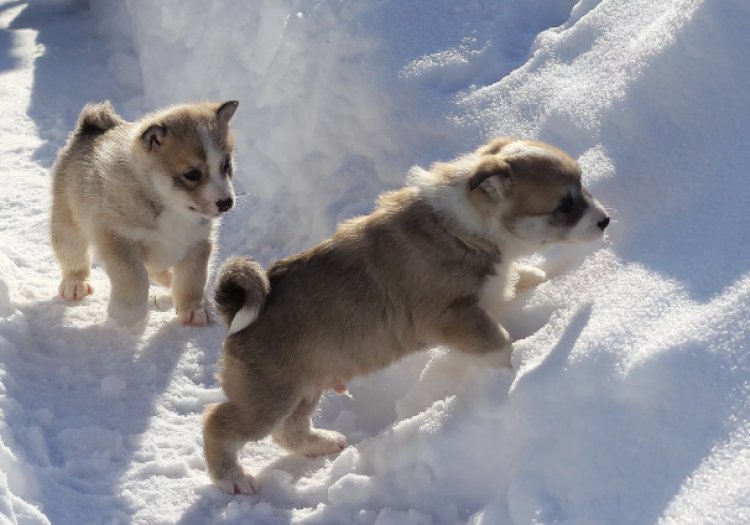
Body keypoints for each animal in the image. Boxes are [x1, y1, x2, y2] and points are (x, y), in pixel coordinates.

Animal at [50, 100, 238, 326]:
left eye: (226, 165)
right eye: (192, 174)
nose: (226, 203)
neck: (170, 206)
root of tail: (90, 128)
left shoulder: (198, 243)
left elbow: (192, 280)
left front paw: (193, 310)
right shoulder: (119, 240)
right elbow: (134, 278)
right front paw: (129, 314)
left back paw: (168, 279)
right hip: (68, 223)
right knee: (73, 255)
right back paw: (75, 284)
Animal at [204, 135, 612, 492]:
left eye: (583, 189)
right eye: (564, 206)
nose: (606, 220)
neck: (472, 224)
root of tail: (233, 314)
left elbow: (514, 283)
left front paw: (540, 279)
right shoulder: (454, 317)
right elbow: (498, 343)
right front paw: (509, 374)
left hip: (304, 388)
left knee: (289, 431)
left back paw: (321, 443)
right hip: (269, 397)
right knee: (219, 423)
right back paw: (232, 479)